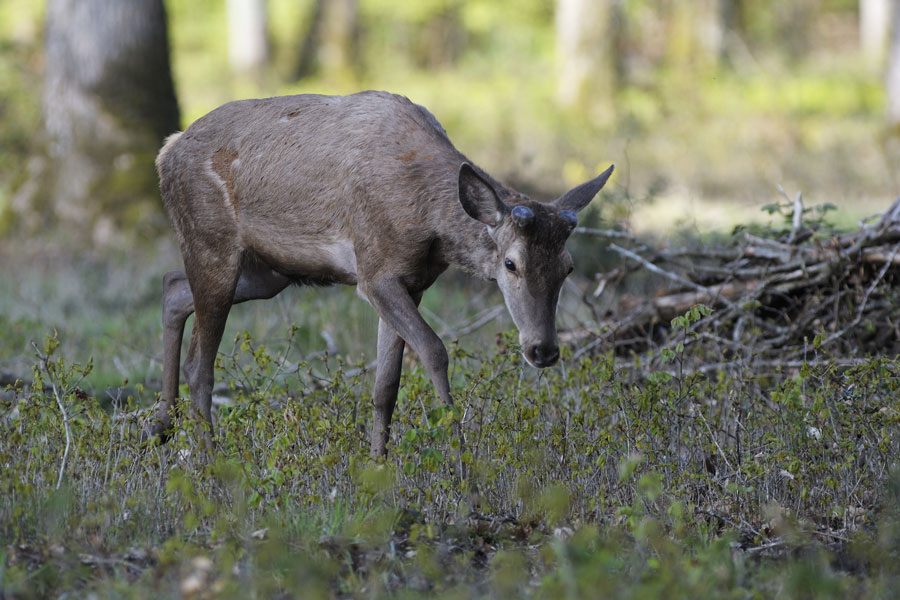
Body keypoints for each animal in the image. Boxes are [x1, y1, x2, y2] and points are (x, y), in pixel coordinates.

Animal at [151, 89, 612, 458]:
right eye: (511, 263)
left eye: (568, 267)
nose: (543, 350)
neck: (428, 224)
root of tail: (164, 152)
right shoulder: (374, 273)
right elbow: (434, 350)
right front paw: (460, 454)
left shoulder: (411, 282)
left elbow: (385, 386)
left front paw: (378, 465)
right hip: (213, 244)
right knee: (201, 365)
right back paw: (211, 461)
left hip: (268, 272)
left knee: (173, 287)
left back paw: (161, 428)